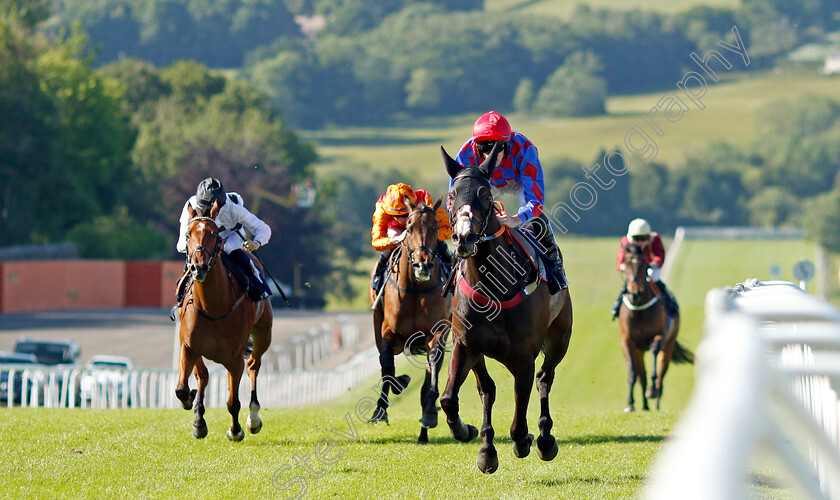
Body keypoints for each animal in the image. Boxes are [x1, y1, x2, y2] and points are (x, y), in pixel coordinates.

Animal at [174, 201, 272, 440]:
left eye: (214, 234)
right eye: (188, 234)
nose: (198, 267)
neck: (213, 307)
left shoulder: (234, 357)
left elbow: (232, 402)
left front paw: (235, 430)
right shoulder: (189, 346)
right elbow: (183, 387)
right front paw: (194, 410)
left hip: (263, 333)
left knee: (253, 364)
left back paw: (253, 419)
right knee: (203, 376)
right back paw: (199, 419)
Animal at [366, 197, 450, 444]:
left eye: (435, 228)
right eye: (409, 228)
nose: (423, 265)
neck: (415, 288)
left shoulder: (438, 331)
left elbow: (433, 365)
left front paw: (430, 413)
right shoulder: (387, 330)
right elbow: (386, 364)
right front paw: (381, 409)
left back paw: (424, 431)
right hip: (377, 322)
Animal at [440, 144, 572, 472]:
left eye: (486, 195)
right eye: (452, 195)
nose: (464, 237)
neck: (491, 287)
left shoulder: (524, 356)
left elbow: (519, 420)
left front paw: (524, 441)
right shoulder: (465, 344)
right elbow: (451, 398)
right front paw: (466, 432)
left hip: (559, 339)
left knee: (544, 378)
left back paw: (544, 439)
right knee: (488, 390)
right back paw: (487, 447)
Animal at [620, 241, 692, 410]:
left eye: (643, 265)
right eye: (626, 264)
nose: (635, 293)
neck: (639, 309)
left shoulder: (658, 335)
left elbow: (654, 353)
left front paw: (651, 391)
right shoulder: (627, 341)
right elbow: (633, 372)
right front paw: (630, 404)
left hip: (669, 345)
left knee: (660, 375)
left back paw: (656, 401)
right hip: (639, 351)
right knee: (642, 375)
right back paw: (645, 406)